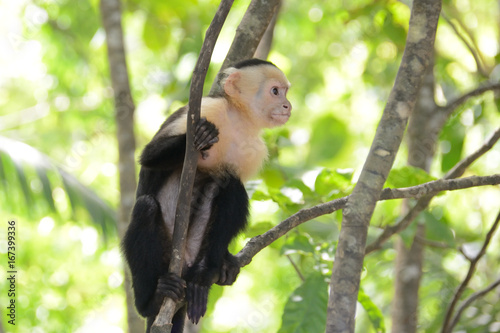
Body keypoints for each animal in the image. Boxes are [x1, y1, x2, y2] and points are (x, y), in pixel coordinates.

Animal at [122, 58, 292, 330]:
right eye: (275, 91)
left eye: (285, 92)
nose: (287, 105)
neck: (237, 119)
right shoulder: (206, 109)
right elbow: (149, 157)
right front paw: (199, 137)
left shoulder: (254, 150)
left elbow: (233, 187)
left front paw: (225, 262)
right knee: (145, 207)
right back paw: (152, 301)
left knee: (230, 184)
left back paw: (203, 275)